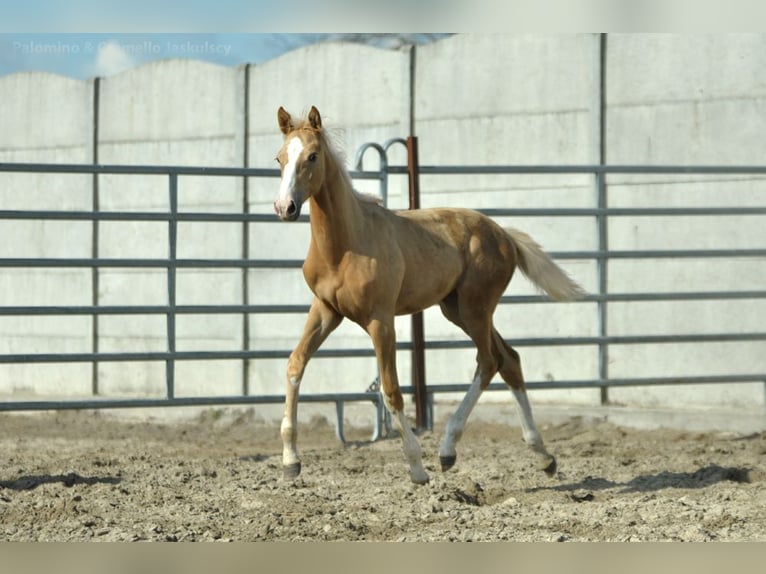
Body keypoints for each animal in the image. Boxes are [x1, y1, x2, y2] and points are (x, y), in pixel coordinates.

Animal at [272, 106, 584, 484]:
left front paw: (417, 468)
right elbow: (295, 365)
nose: (285, 207)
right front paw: (290, 462)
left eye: (312, 156)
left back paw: (448, 450)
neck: (346, 244)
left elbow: (391, 390)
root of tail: (504, 235)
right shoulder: (325, 310)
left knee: (489, 361)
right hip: (458, 310)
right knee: (509, 359)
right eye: (279, 158)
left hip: (476, 308)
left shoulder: (380, 320)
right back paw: (543, 456)